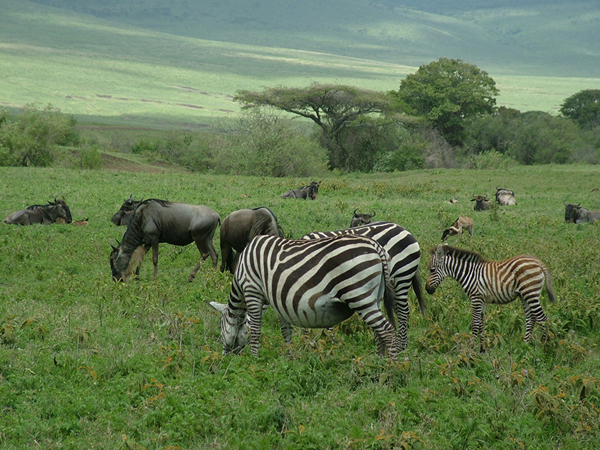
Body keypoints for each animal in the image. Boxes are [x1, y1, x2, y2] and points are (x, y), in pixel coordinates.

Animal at [210, 234, 398, 360]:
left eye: (220, 327)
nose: (225, 357)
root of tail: (376, 246)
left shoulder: (252, 290)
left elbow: (255, 329)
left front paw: (254, 360)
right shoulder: (278, 299)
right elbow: (286, 331)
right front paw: (290, 358)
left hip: (359, 295)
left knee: (387, 331)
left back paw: (390, 368)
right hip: (375, 297)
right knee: (378, 332)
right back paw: (377, 363)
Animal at [302, 221, 424, 352]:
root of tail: (402, 228)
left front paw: (330, 344)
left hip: (403, 275)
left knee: (403, 310)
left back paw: (401, 345)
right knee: (398, 309)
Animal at [424, 246, 556, 352]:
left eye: (432, 270)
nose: (427, 289)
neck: (468, 273)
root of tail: (538, 262)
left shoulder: (476, 298)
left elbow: (475, 323)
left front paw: (471, 349)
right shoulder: (482, 300)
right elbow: (481, 323)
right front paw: (482, 349)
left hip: (530, 292)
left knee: (542, 318)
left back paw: (544, 347)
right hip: (525, 295)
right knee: (531, 319)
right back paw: (525, 346)